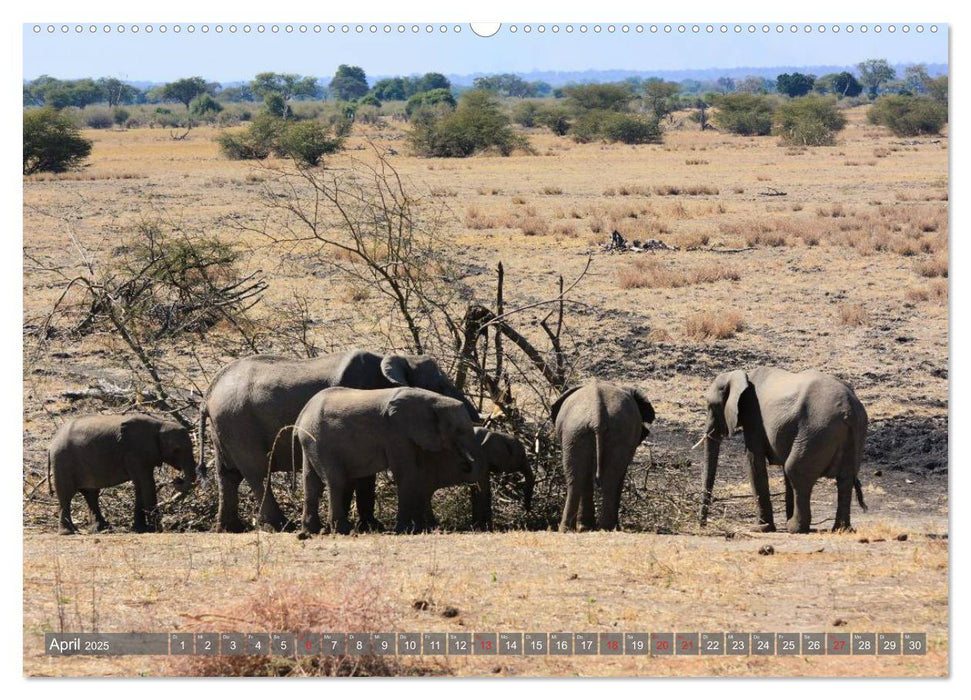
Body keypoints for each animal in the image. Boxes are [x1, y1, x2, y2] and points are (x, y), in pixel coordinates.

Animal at [47, 412, 196, 532]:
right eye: (176, 450)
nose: (177, 479)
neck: (160, 424)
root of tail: (52, 442)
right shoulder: (135, 452)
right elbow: (147, 483)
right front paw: (157, 529)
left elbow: (140, 486)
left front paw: (140, 529)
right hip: (63, 460)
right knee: (66, 495)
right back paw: (69, 532)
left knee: (91, 494)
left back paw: (102, 529)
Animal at [198, 348, 482, 532]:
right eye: (441, 386)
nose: (476, 416)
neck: (397, 358)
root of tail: (208, 394)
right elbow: (365, 477)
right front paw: (370, 526)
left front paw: (367, 525)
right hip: (239, 423)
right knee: (257, 472)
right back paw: (282, 526)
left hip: (224, 428)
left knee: (228, 475)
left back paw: (230, 528)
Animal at [552, 382, 656, 532]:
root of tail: (597, 414)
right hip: (581, 431)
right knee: (604, 478)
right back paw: (601, 528)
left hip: (579, 432)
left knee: (581, 477)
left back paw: (580, 529)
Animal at [700, 370, 872, 532]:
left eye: (710, 406)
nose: (702, 525)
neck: (741, 376)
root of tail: (849, 410)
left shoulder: (753, 415)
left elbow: (754, 461)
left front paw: (761, 528)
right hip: (853, 431)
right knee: (845, 479)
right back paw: (841, 529)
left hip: (817, 430)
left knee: (795, 470)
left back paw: (795, 528)